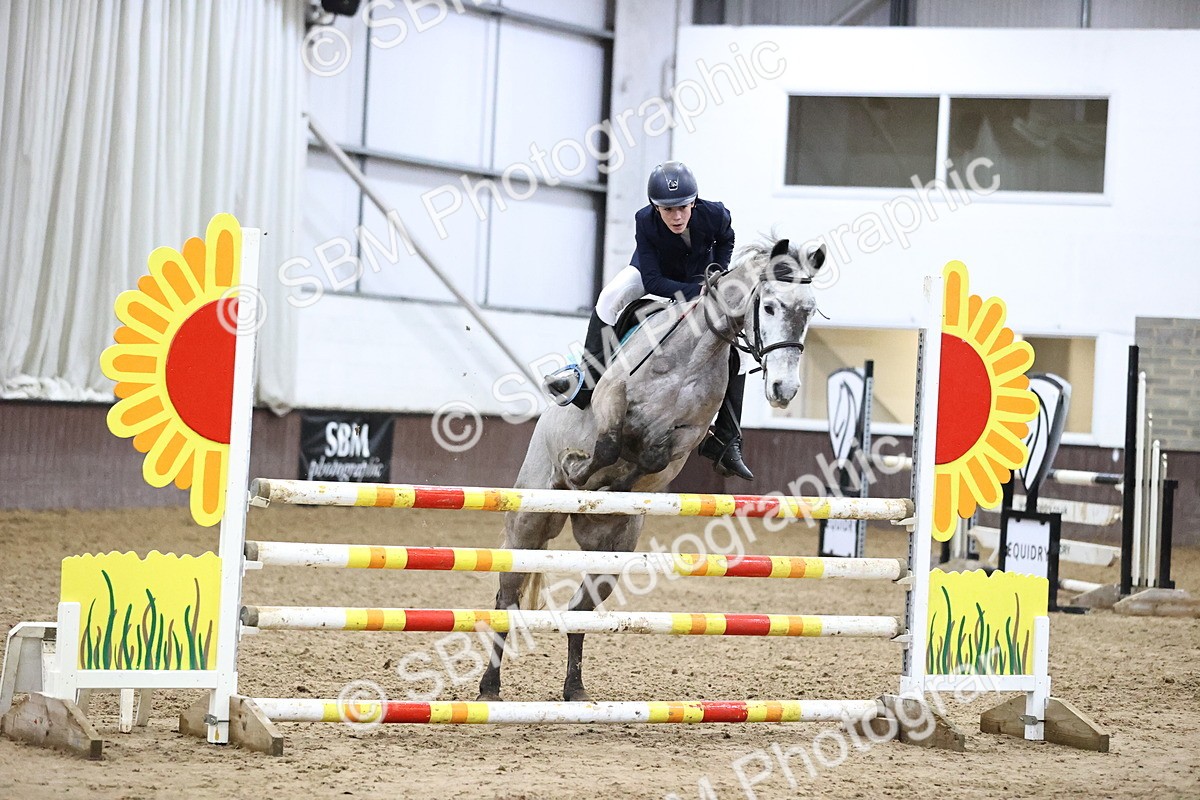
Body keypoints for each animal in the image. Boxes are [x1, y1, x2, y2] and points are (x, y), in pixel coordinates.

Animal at [476, 236, 826, 702]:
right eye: (769, 307)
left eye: (809, 311)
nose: (784, 390)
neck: (693, 355)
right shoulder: (613, 397)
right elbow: (608, 445)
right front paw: (578, 469)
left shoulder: (685, 438)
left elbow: (650, 458)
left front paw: (613, 486)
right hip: (529, 523)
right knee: (507, 597)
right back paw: (489, 688)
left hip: (610, 548)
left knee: (579, 610)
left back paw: (575, 690)